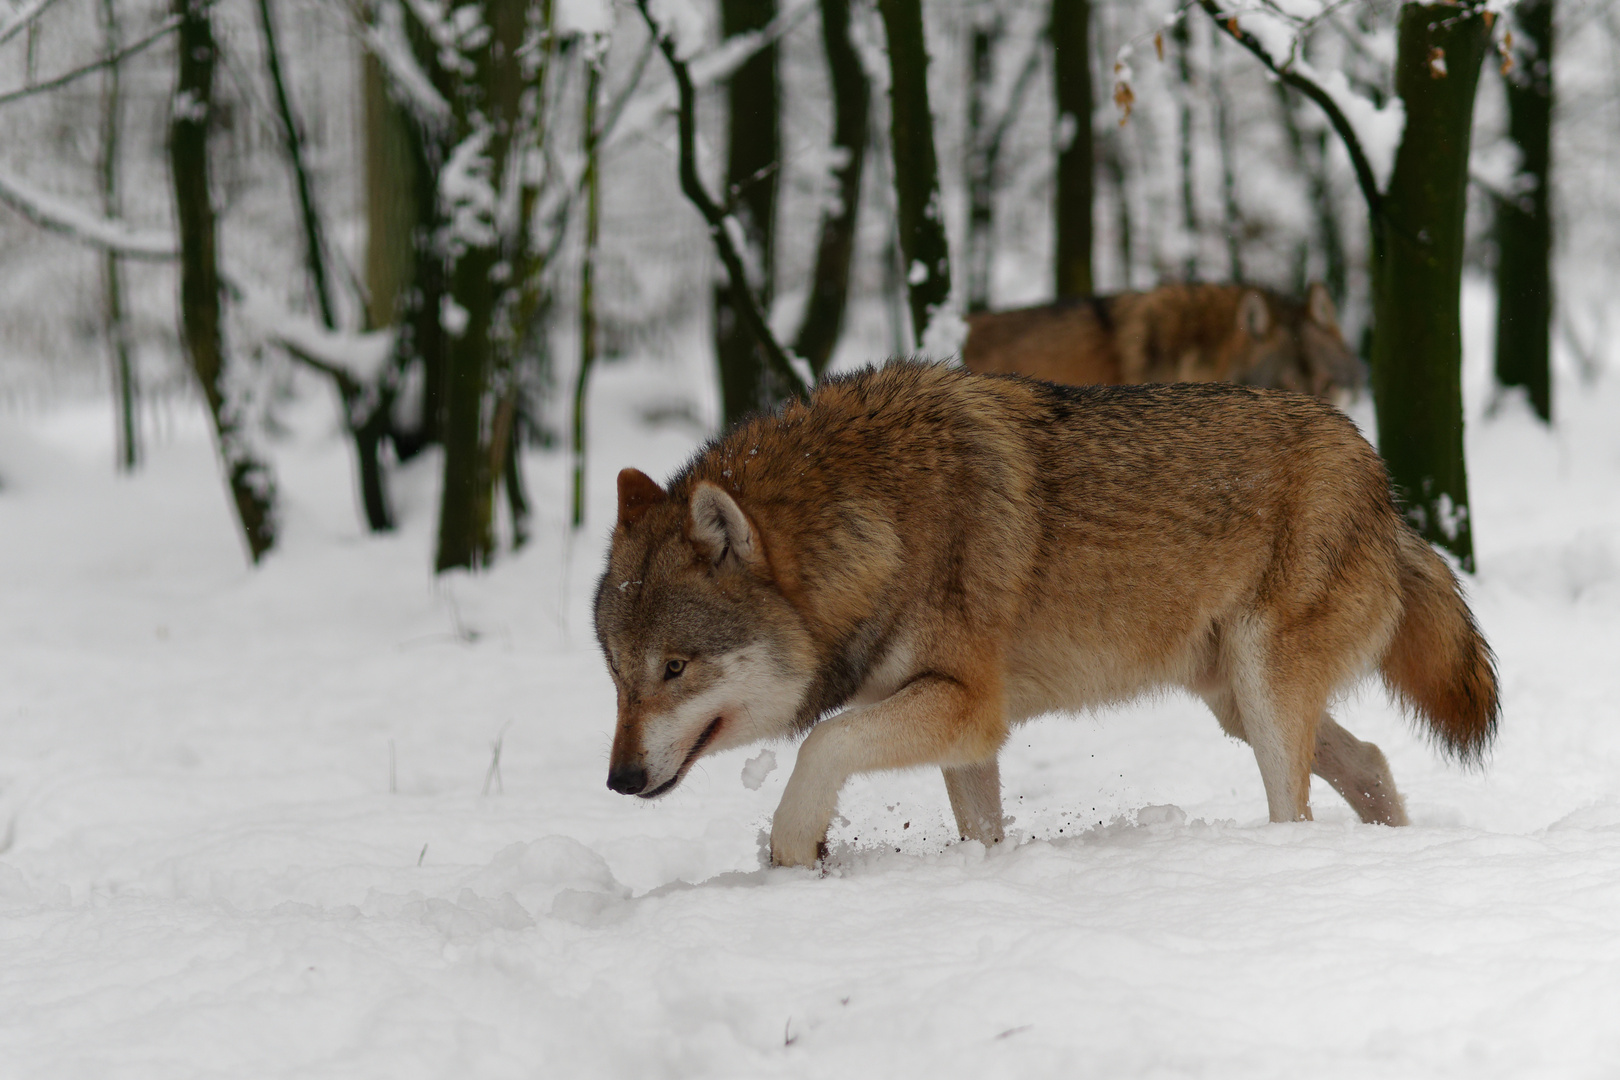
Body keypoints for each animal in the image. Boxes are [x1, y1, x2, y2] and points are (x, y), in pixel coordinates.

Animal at [592, 362, 1490, 867]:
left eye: (675, 668)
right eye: (618, 678)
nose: (619, 780)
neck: (874, 522)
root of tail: (1383, 486)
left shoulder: (967, 708)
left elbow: (822, 743)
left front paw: (792, 850)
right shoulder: (959, 731)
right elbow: (979, 830)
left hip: (1262, 694)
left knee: (1300, 803)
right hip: (1235, 701)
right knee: (1370, 761)